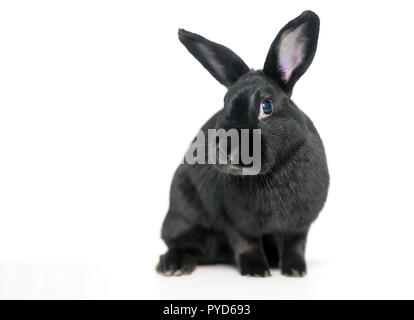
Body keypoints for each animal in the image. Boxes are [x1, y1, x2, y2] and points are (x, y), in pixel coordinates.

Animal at [157, 11, 328, 276]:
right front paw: (256, 270)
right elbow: (246, 243)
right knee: (178, 243)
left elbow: (296, 245)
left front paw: (295, 270)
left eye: (266, 106)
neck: (273, 173)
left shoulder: (300, 224)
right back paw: (174, 265)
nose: (225, 150)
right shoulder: (234, 221)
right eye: (225, 103)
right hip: (182, 215)